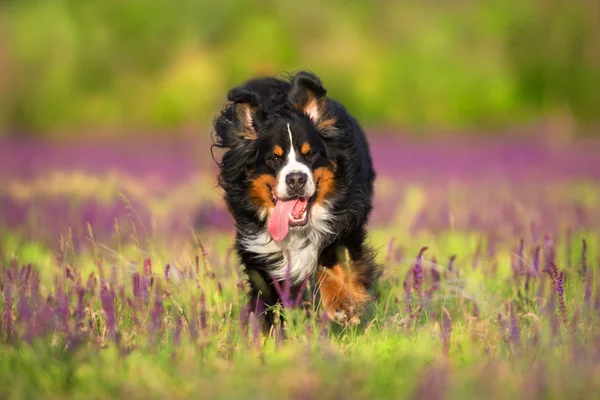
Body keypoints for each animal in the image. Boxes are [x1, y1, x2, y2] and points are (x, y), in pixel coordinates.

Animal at [213, 71, 378, 328]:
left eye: (310, 154)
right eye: (273, 158)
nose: (296, 179)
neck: (296, 231)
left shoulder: (346, 224)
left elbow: (333, 261)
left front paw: (342, 305)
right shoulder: (258, 250)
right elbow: (268, 299)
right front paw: (269, 332)